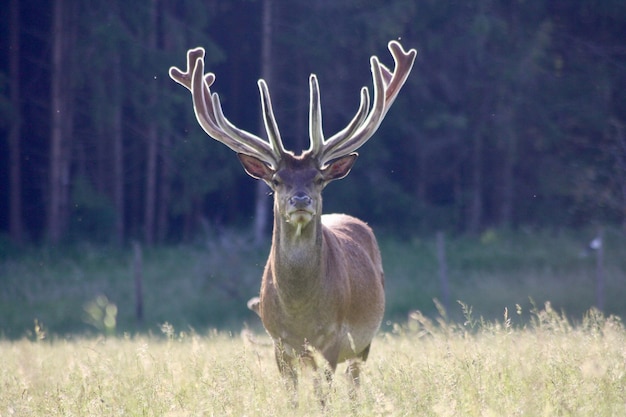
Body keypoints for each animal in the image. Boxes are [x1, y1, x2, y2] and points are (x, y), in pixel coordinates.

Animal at [168, 40, 416, 402]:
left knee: (354, 386)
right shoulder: (278, 342)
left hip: (365, 341)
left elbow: (323, 397)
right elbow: (292, 396)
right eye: (276, 180)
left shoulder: (333, 339)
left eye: (318, 179)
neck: (300, 314)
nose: (300, 200)